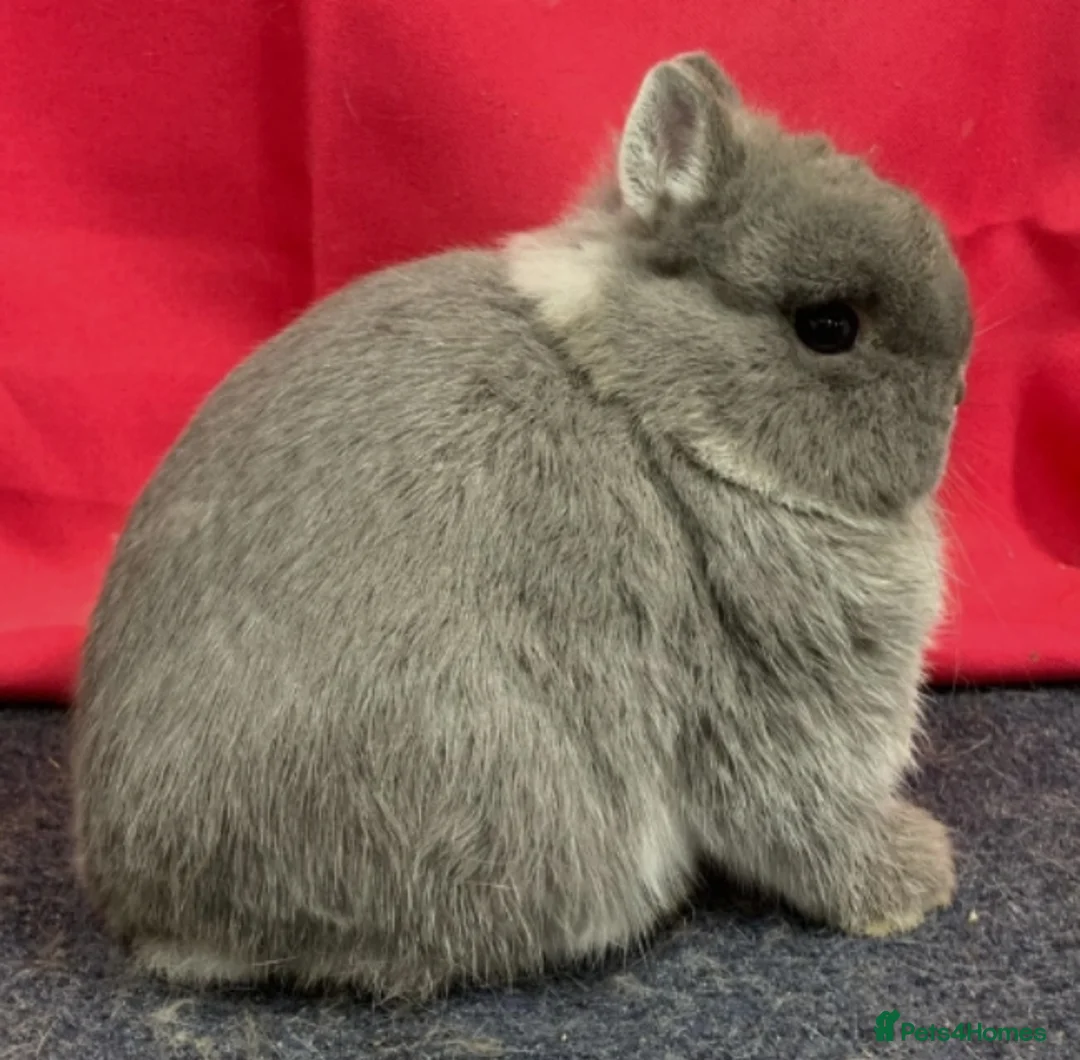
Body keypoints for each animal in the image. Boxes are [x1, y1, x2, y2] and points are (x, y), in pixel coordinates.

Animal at [71, 51, 972, 1001]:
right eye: (827, 327)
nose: (959, 395)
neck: (652, 403)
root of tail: (153, 909)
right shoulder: (771, 693)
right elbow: (803, 820)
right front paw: (916, 882)